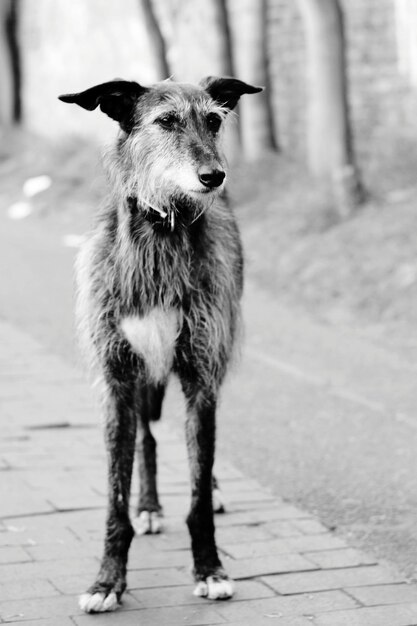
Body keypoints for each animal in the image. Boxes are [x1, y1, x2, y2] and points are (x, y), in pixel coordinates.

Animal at [59, 75, 260, 612]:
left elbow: (198, 489)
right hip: (143, 379)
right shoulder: (118, 377)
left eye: (213, 120)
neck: (161, 230)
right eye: (165, 121)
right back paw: (148, 506)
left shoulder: (201, 374)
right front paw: (107, 581)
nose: (214, 176)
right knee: (147, 437)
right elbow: (115, 497)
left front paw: (210, 569)